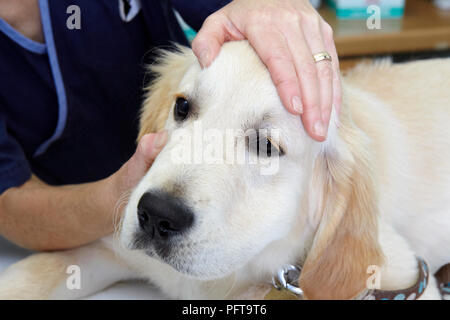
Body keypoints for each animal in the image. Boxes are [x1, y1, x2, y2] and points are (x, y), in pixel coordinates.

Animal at [0, 41, 450, 298]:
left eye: (266, 145)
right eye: (183, 107)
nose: (157, 215)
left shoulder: (401, 272)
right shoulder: (102, 246)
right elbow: (27, 278)